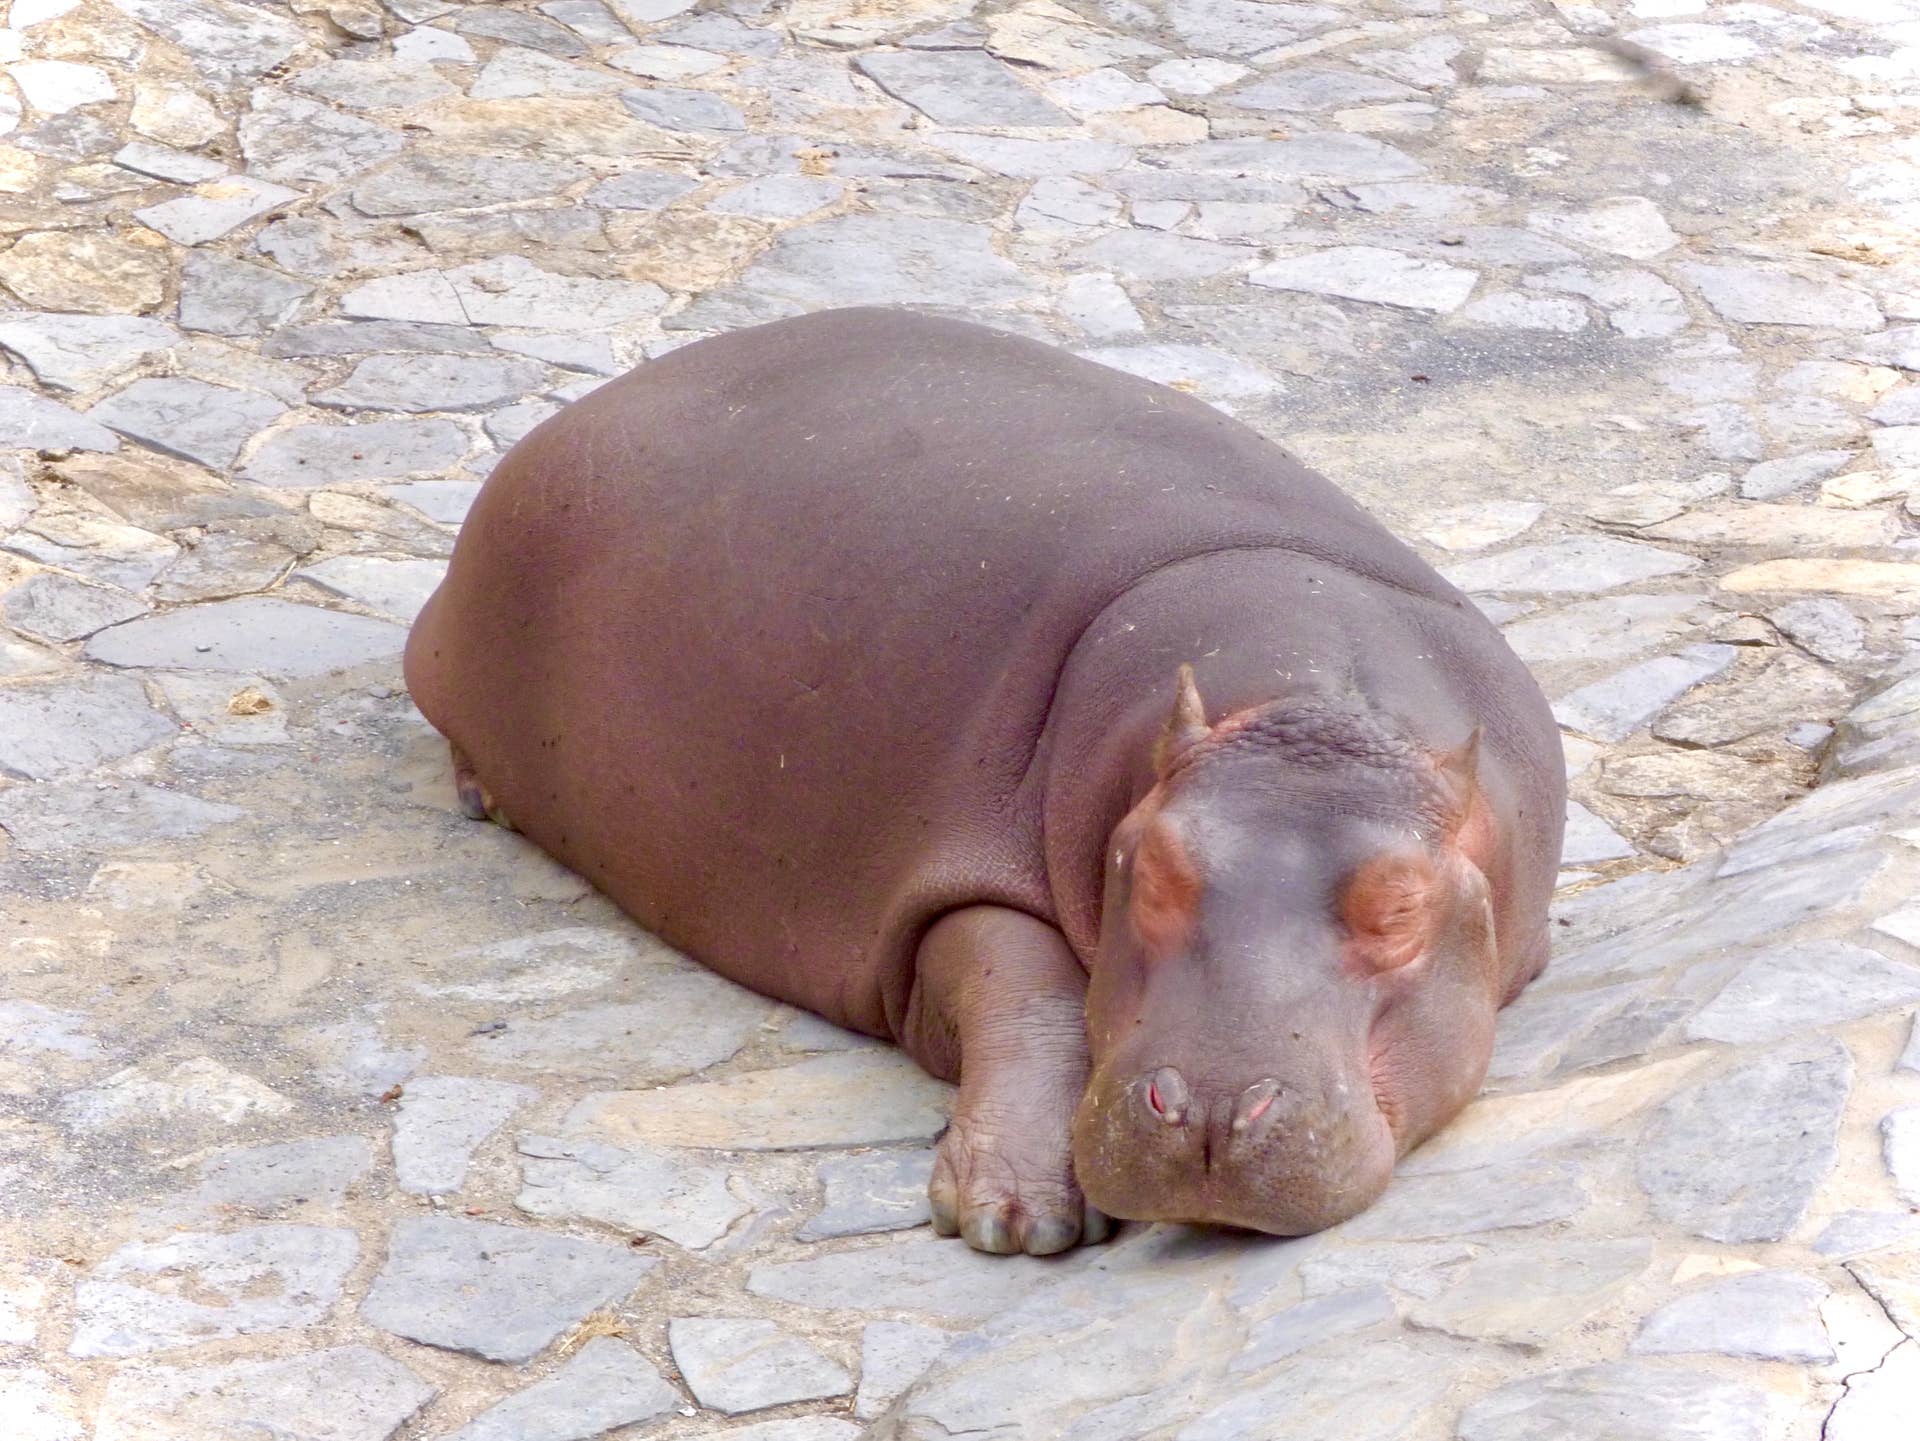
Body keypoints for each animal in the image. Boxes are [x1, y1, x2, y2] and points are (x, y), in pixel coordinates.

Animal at [405, 308, 1566, 1256]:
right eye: (1147, 870)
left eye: (1401, 909)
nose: (1206, 1112)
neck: (1315, 707)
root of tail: (585, 408)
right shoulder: (965, 869)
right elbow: (1029, 987)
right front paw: (1017, 1212)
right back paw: (479, 795)